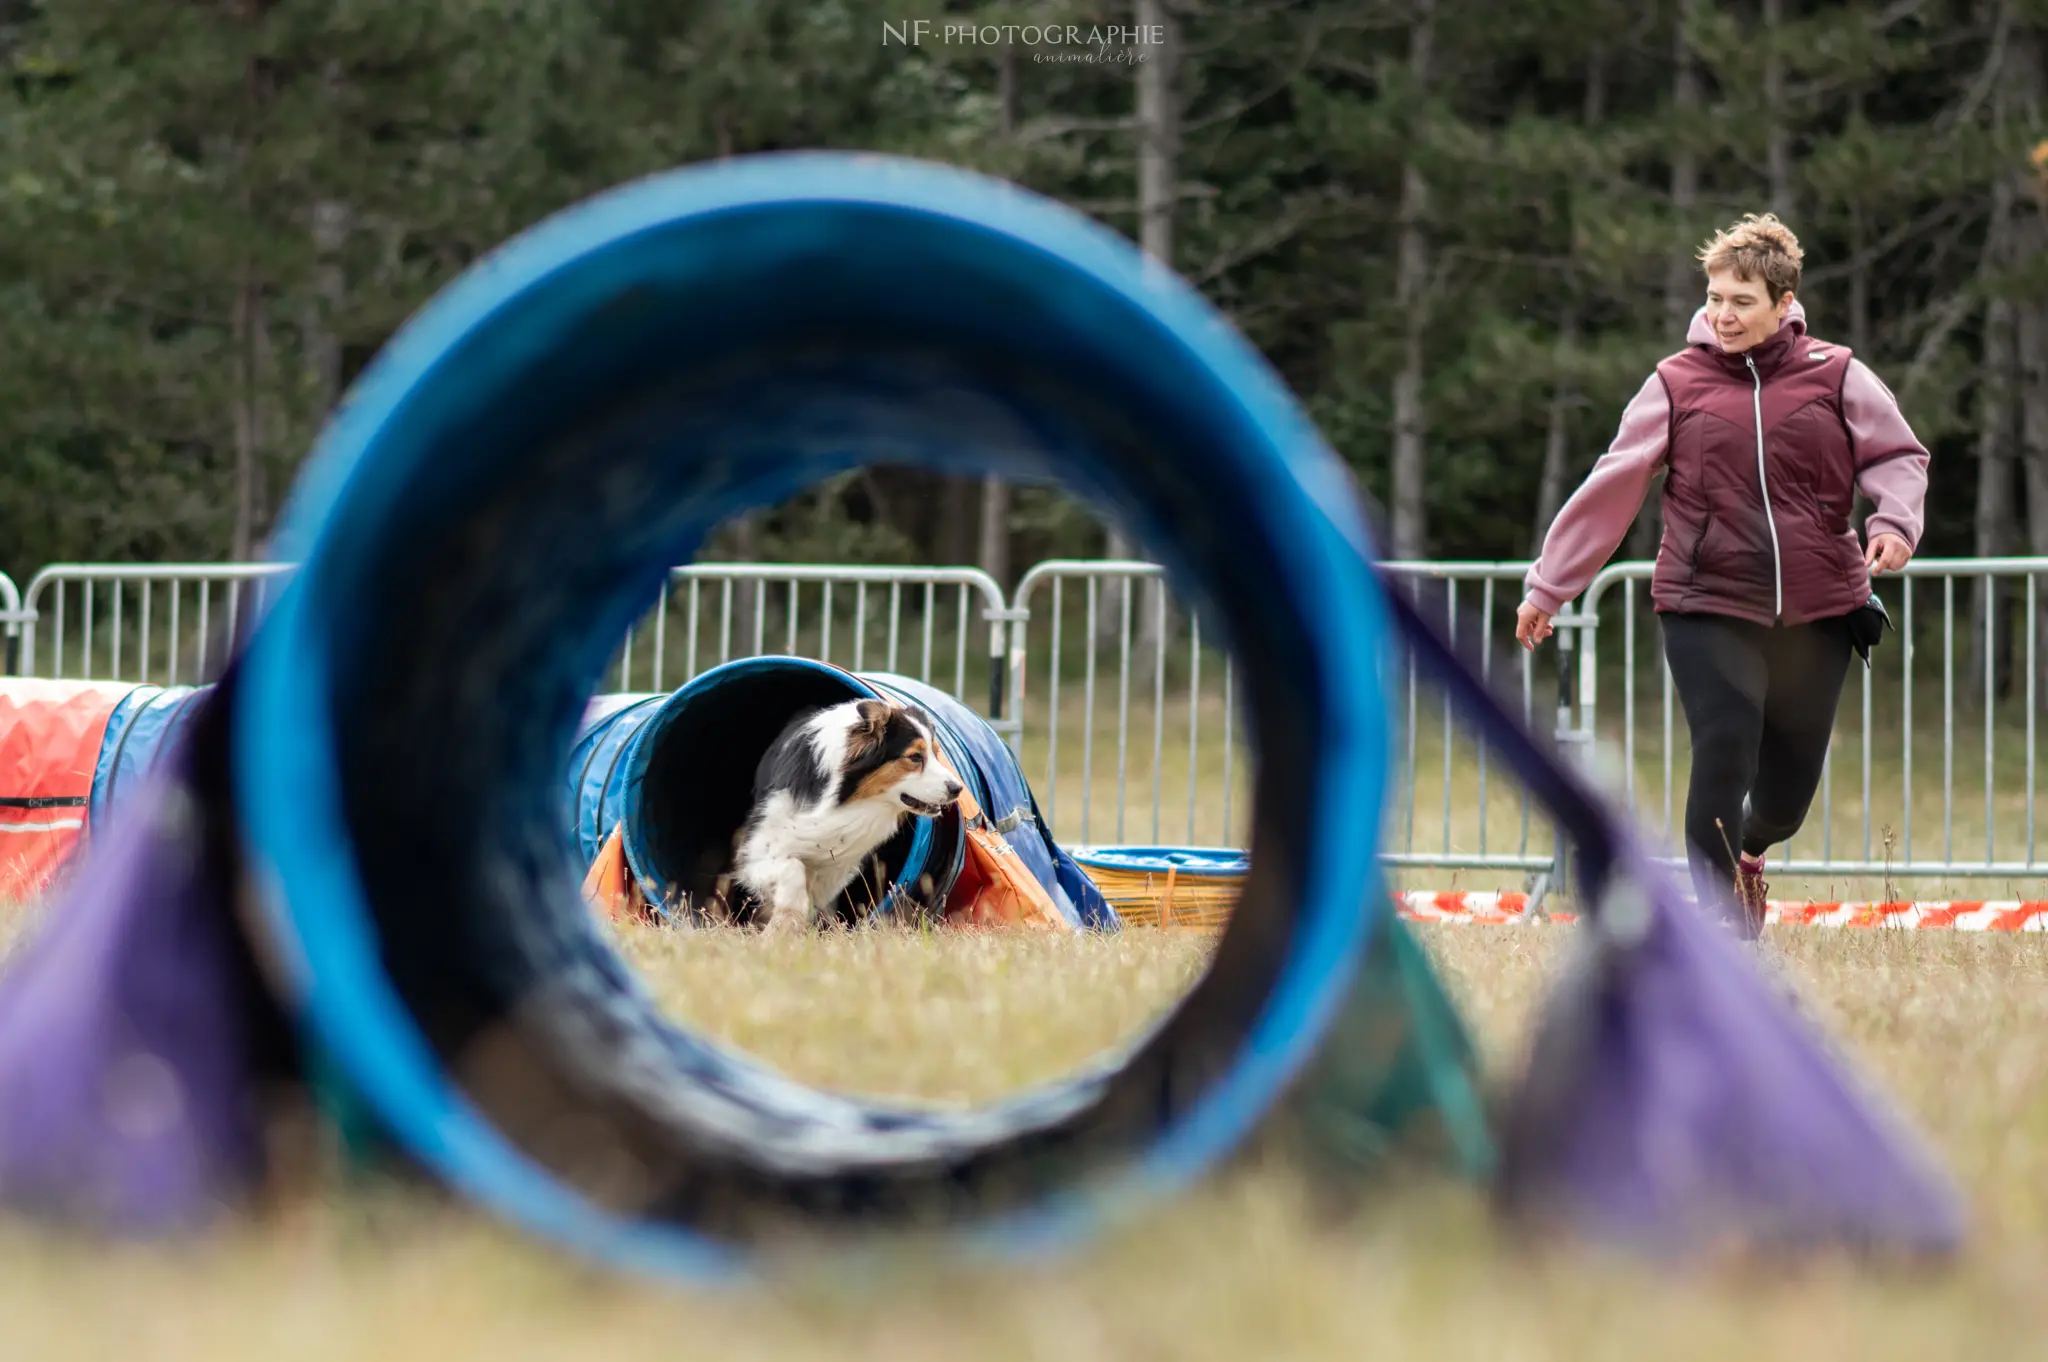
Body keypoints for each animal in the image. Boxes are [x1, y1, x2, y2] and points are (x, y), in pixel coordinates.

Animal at [733, 696, 962, 929]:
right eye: (915, 757)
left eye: (936, 754)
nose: (958, 788)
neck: (843, 799)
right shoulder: (756, 848)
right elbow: (792, 871)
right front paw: (782, 924)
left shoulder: (835, 867)